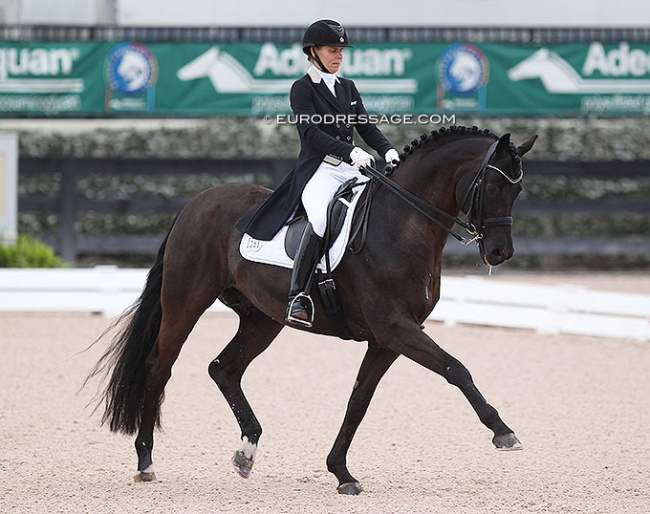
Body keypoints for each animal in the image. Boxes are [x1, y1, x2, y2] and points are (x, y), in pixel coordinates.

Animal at [87, 123, 536, 492]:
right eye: (493, 188)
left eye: (518, 191)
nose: (500, 253)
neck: (401, 224)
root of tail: (196, 202)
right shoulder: (395, 327)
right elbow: (455, 368)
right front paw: (503, 432)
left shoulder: (387, 340)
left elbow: (359, 401)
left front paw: (341, 472)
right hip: (186, 302)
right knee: (159, 367)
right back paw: (146, 462)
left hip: (262, 319)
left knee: (224, 369)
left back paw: (246, 452)